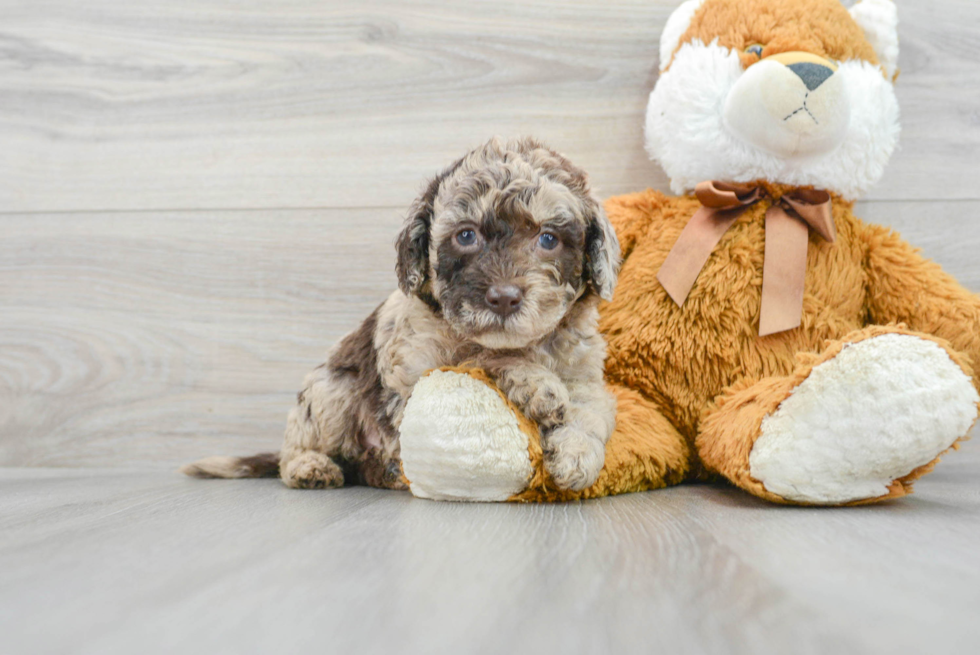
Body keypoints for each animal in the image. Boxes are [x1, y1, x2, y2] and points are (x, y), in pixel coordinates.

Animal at [184, 138, 620, 492]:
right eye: (466, 235)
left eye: (549, 238)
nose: (503, 298)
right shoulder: (417, 371)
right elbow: (478, 355)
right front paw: (536, 383)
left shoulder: (585, 374)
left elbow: (592, 410)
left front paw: (578, 456)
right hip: (330, 394)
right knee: (297, 450)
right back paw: (311, 468)